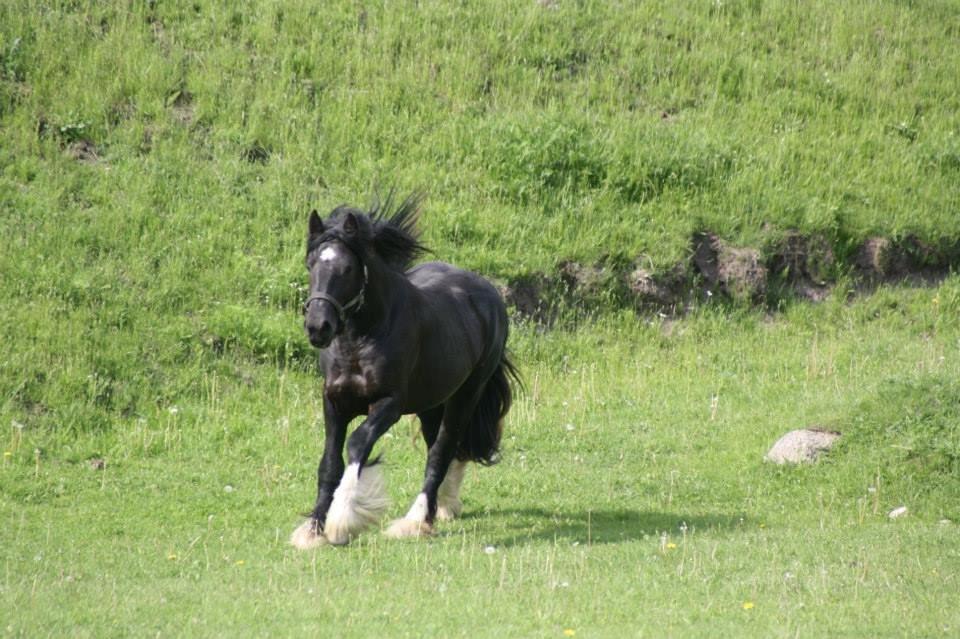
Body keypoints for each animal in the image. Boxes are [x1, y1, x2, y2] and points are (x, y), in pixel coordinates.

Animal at [290, 192, 516, 548]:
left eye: (347, 268)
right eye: (311, 264)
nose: (318, 327)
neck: (362, 338)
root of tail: (488, 293)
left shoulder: (389, 404)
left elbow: (358, 444)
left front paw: (342, 521)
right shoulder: (334, 402)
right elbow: (329, 463)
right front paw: (313, 529)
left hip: (465, 395)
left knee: (441, 450)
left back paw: (415, 520)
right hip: (431, 403)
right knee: (438, 446)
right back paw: (443, 507)